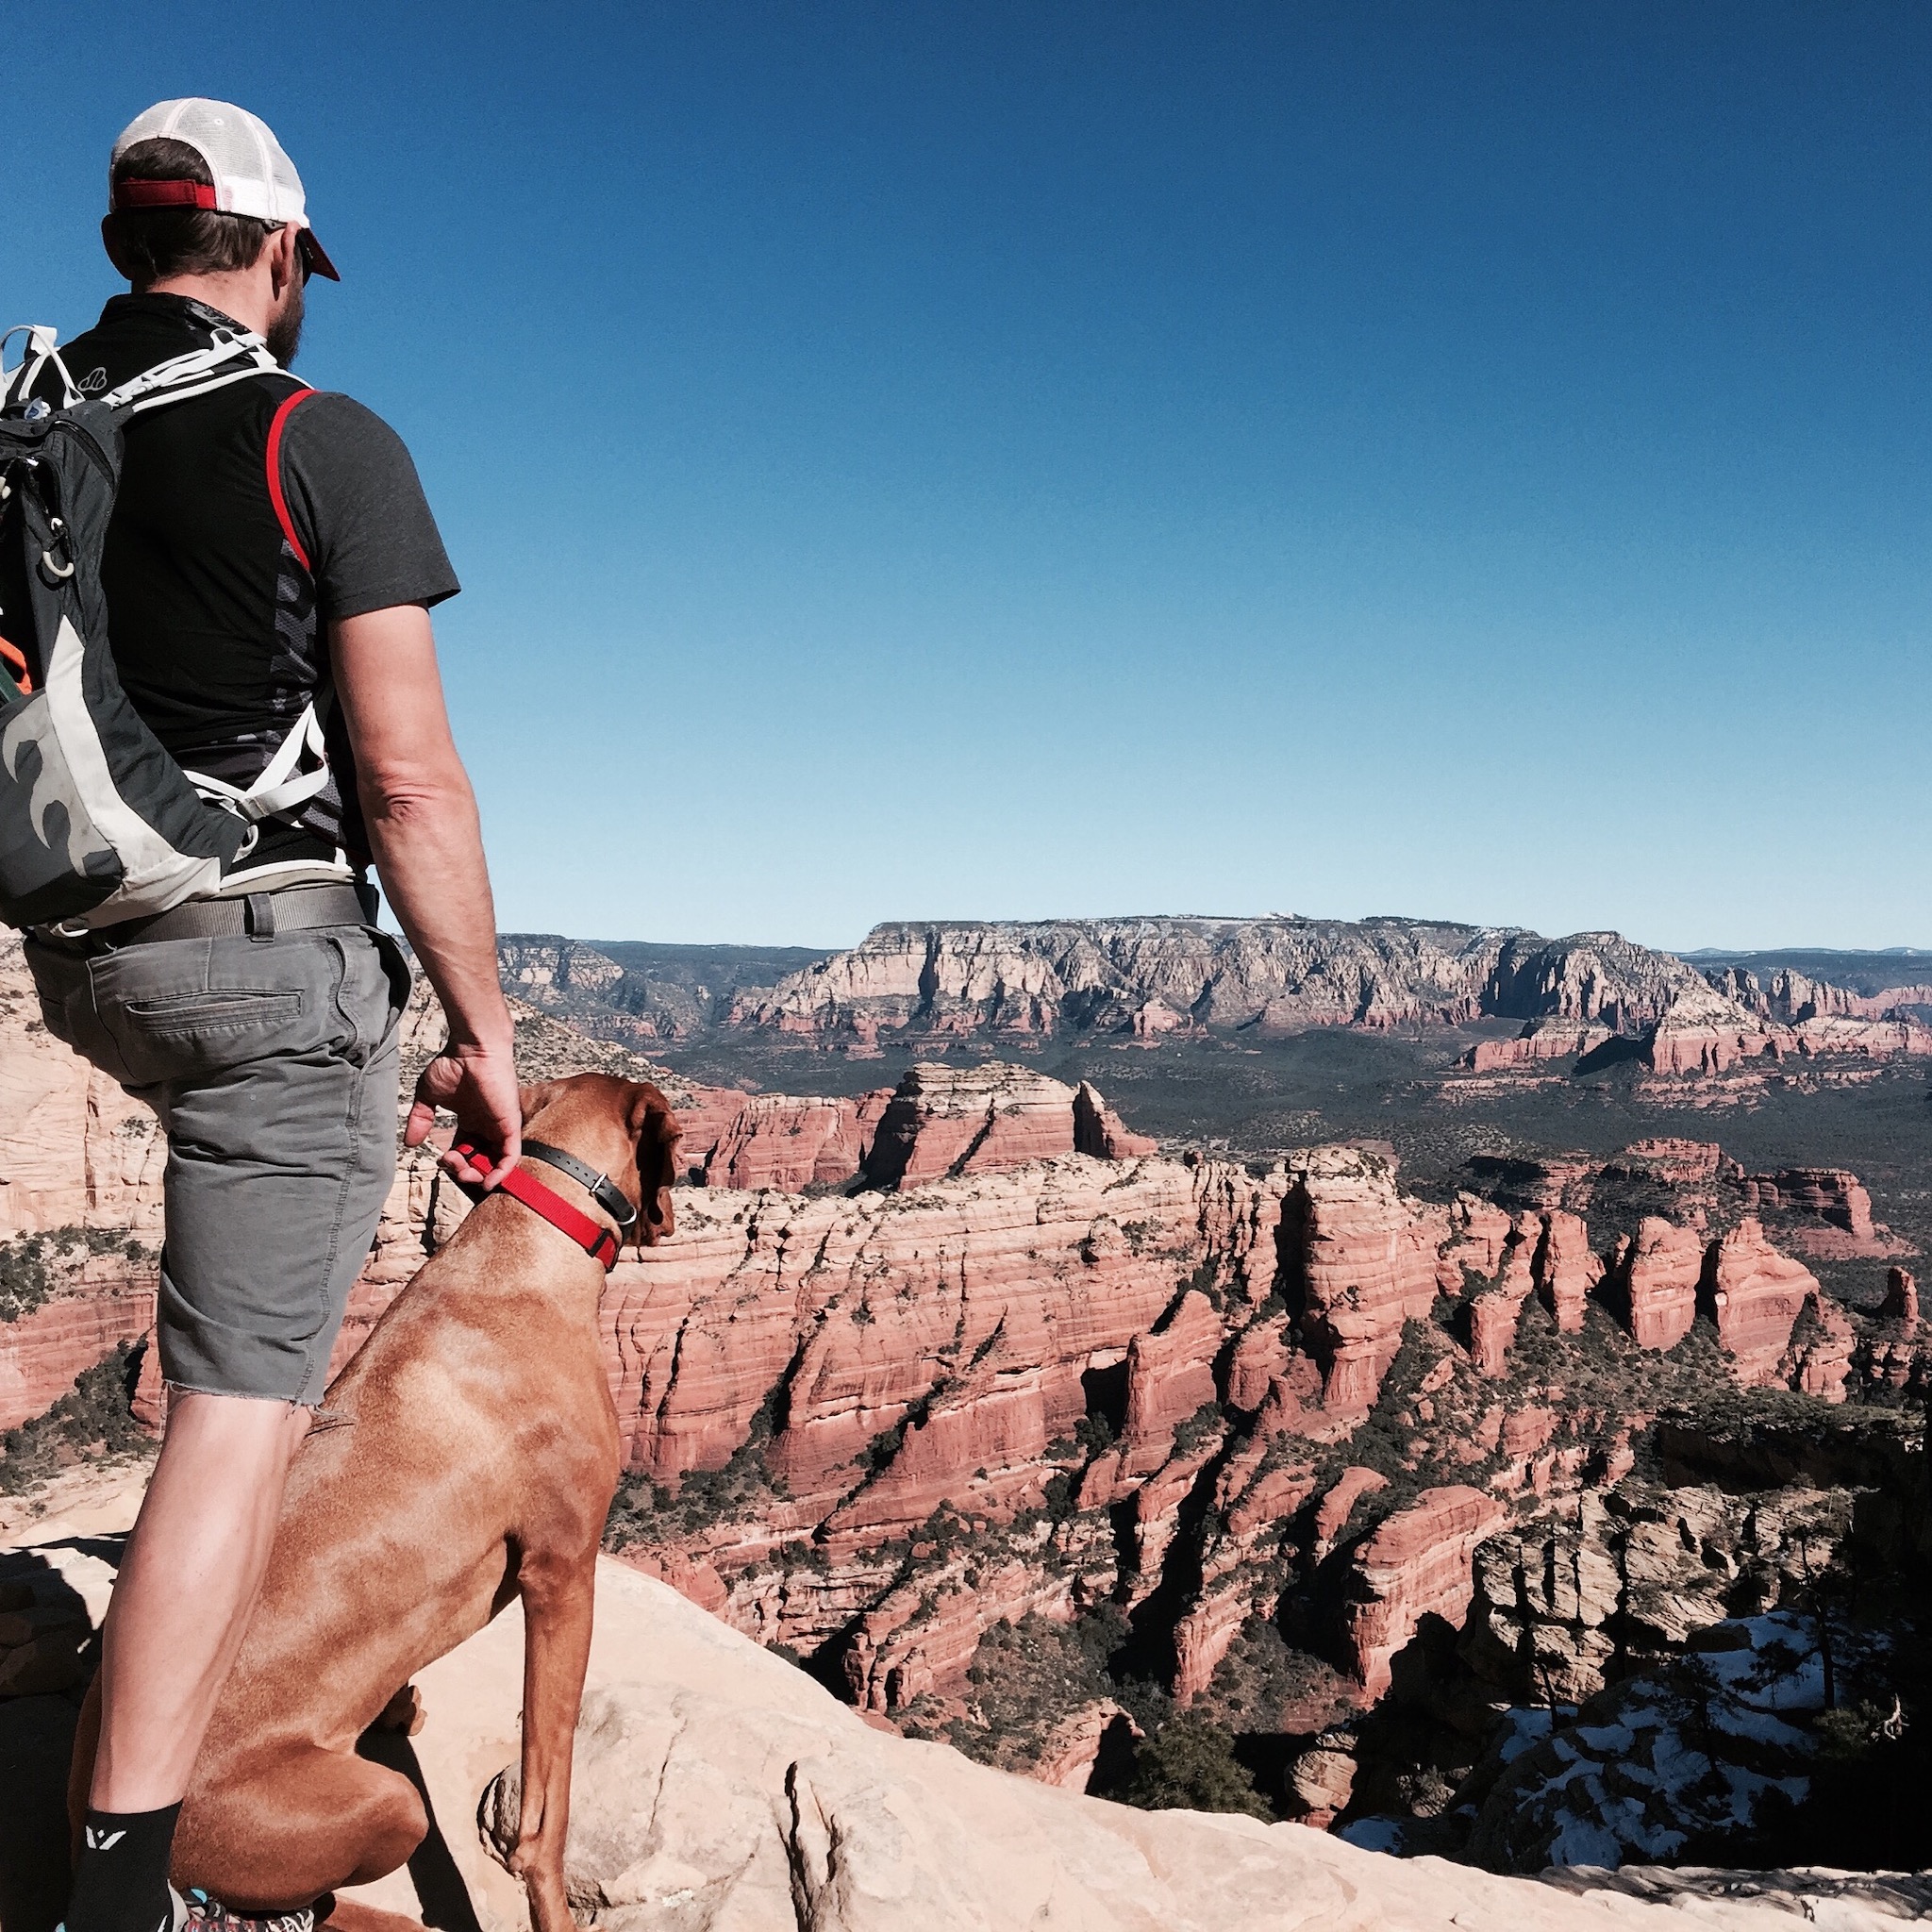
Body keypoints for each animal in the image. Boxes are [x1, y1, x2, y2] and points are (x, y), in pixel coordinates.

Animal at [68, 1072, 681, 1932]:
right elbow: (547, 1811)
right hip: (387, 1805)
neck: (525, 1251)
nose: (675, 1211)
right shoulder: (562, 1573)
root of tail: (80, 1824)